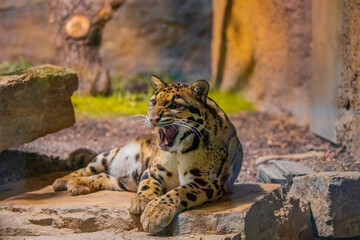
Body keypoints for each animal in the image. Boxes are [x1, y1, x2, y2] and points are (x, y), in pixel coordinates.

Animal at [52, 76, 243, 233]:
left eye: (175, 105)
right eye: (153, 102)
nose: (152, 118)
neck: (179, 151)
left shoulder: (206, 182)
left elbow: (178, 192)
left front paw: (154, 213)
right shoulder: (153, 171)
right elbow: (147, 185)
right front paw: (142, 201)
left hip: (124, 182)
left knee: (105, 177)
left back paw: (78, 184)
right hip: (108, 155)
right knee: (88, 168)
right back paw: (65, 181)